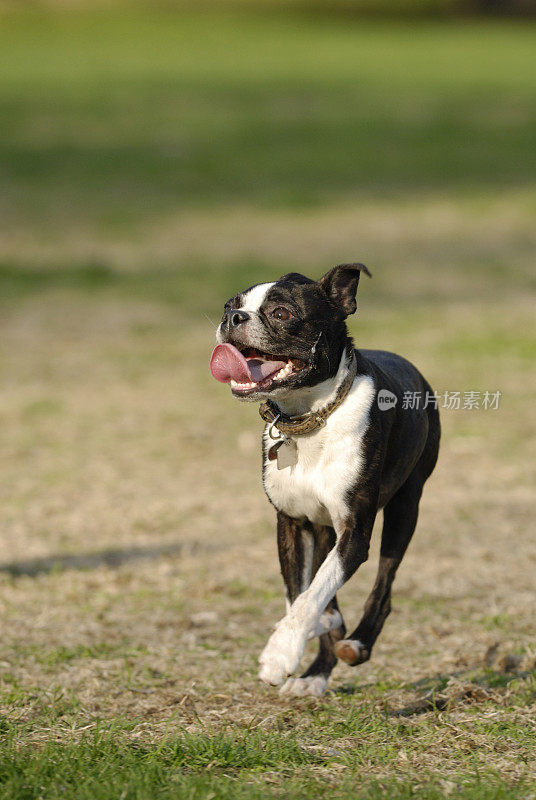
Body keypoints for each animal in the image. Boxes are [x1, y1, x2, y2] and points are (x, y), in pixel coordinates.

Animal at [209, 266, 440, 696]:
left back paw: (357, 643)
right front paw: (319, 627)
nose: (233, 318)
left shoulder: (354, 532)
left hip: (405, 507)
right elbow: (299, 591)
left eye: (281, 314)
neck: (308, 418)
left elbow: (312, 594)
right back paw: (315, 675)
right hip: (323, 528)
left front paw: (279, 654)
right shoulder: (293, 523)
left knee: (383, 586)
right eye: (230, 306)